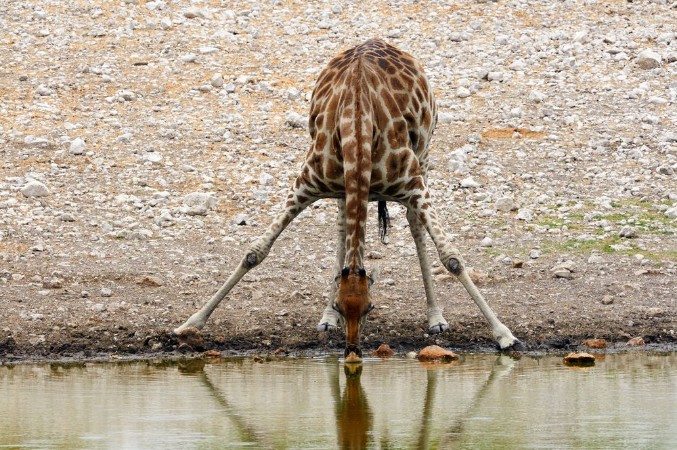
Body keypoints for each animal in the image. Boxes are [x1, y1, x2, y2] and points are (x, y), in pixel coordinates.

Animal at [174, 38, 523, 358]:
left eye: (370, 308)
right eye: (341, 306)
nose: (352, 350)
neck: (358, 124)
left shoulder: (413, 184)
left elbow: (451, 258)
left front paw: (505, 335)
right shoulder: (306, 183)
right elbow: (255, 252)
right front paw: (190, 323)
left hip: (424, 156)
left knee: (414, 226)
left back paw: (435, 317)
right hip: (344, 188)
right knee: (343, 227)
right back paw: (324, 319)